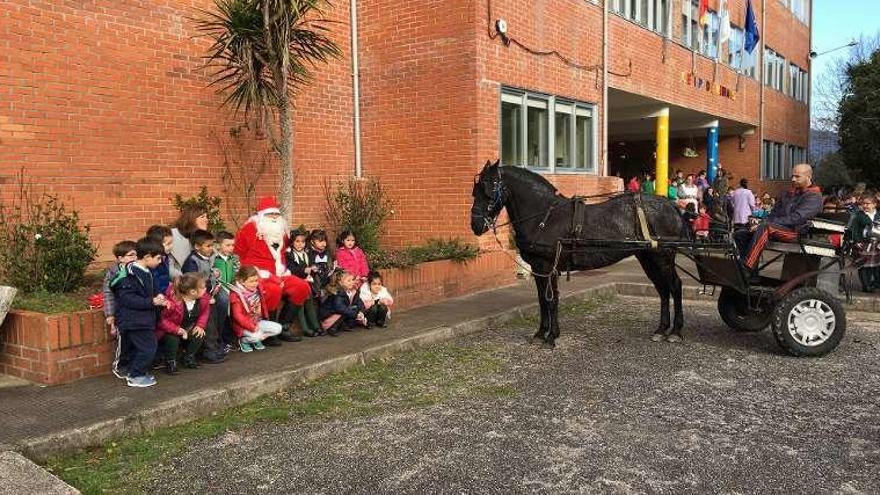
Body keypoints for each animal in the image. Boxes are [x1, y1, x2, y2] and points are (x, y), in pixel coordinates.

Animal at [470, 161, 692, 346]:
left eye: (489, 188)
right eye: (475, 190)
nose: (475, 225)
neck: (544, 217)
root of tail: (671, 205)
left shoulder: (547, 266)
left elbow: (550, 300)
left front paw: (551, 337)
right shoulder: (539, 269)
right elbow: (542, 299)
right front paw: (541, 334)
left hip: (663, 257)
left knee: (675, 286)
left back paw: (675, 331)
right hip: (648, 258)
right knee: (662, 289)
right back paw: (661, 329)